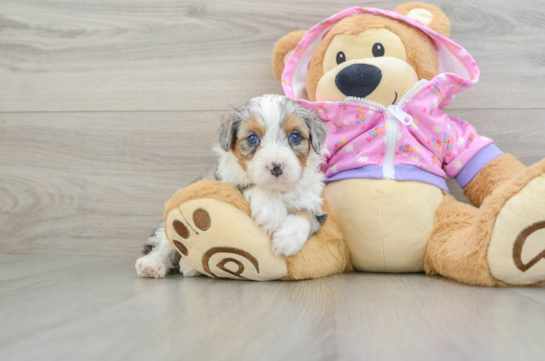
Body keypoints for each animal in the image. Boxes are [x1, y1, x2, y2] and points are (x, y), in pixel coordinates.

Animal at [136, 94, 330, 278]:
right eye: (252, 138)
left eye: (295, 137)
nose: (276, 167)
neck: (277, 188)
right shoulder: (227, 183)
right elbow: (251, 185)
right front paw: (271, 211)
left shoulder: (314, 202)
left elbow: (307, 216)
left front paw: (287, 238)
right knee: (165, 243)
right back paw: (152, 264)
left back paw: (189, 266)